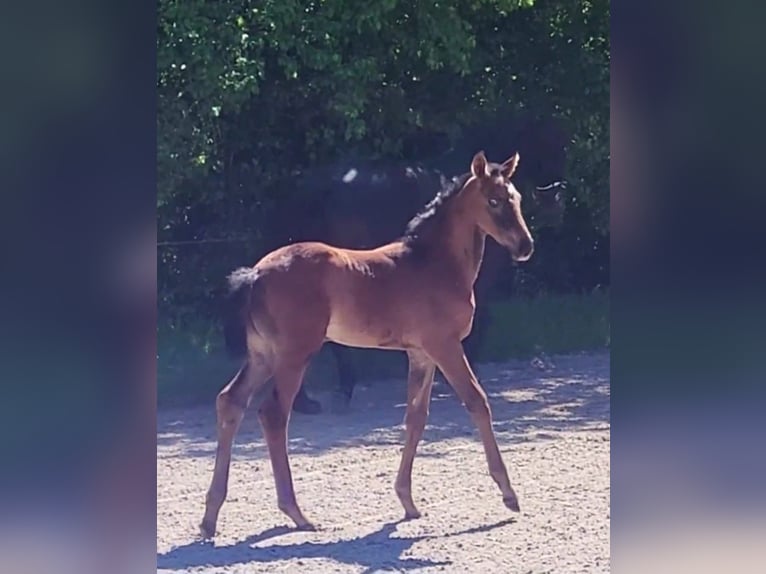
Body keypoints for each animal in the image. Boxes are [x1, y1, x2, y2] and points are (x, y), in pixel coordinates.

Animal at [198, 151, 536, 536]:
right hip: (293, 356)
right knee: (273, 415)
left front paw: (407, 501)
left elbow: (416, 418)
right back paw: (296, 513)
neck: (433, 262)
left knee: (230, 402)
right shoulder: (446, 346)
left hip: (262, 356)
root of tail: (255, 275)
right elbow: (477, 402)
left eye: (517, 198)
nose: (525, 247)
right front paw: (508, 494)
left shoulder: (420, 354)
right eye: (493, 201)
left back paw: (210, 517)